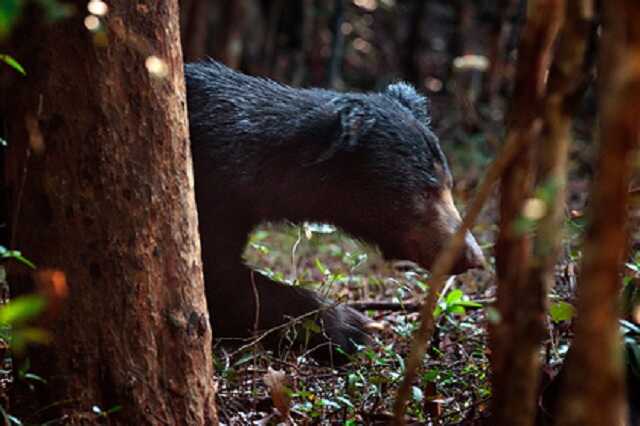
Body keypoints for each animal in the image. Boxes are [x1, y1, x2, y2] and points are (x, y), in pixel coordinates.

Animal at [182, 60, 482, 362]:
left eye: (448, 185)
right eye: (424, 192)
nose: (473, 257)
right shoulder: (212, 195)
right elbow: (217, 275)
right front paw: (355, 328)